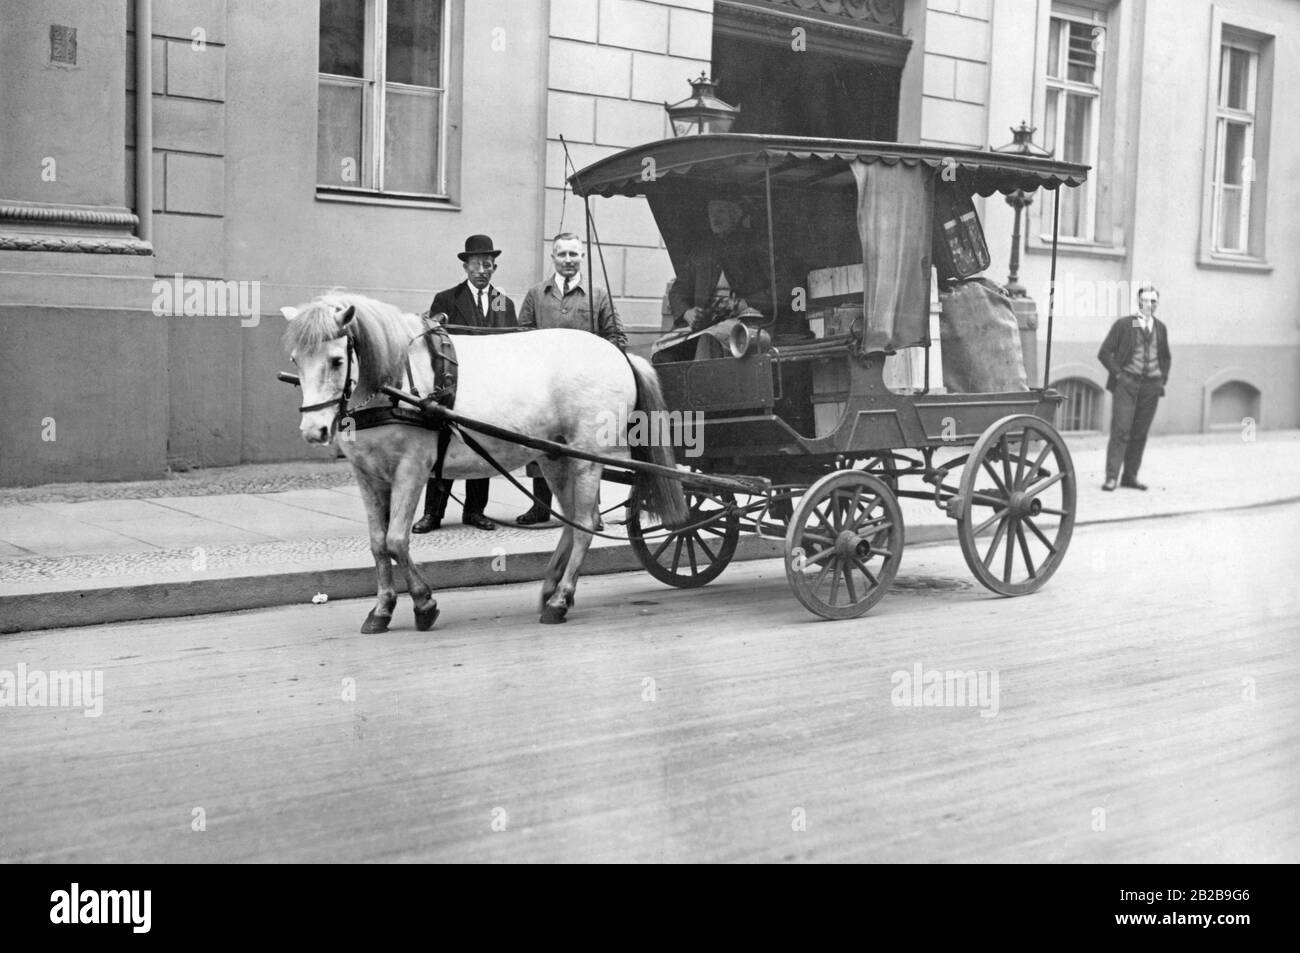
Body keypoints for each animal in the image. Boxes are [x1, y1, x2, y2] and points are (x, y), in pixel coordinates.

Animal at [282, 289, 691, 631]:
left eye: (337, 360)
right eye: (296, 360)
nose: (313, 430)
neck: (395, 385)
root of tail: (619, 353)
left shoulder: (411, 469)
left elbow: (397, 540)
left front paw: (423, 604)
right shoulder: (368, 475)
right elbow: (378, 543)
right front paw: (382, 608)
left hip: (586, 458)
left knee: (587, 524)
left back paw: (560, 599)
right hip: (556, 457)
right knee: (575, 520)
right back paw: (550, 589)